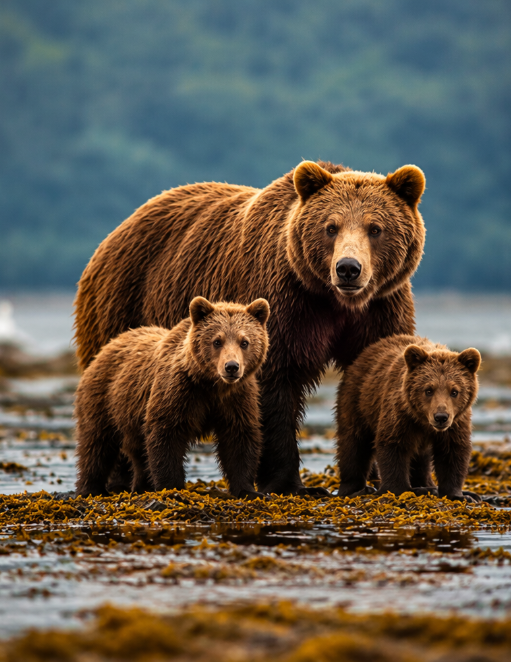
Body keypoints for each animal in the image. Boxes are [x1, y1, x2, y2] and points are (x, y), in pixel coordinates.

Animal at [74, 296, 270, 499]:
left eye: (244, 342)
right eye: (217, 341)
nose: (231, 367)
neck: (211, 385)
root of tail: (108, 345)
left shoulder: (236, 399)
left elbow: (239, 439)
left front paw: (248, 490)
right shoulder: (178, 392)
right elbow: (166, 435)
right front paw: (172, 487)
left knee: (138, 451)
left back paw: (141, 486)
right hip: (104, 398)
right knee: (96, 445)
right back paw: (90, 489)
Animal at [335, 335, 481, 502]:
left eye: (454, 391)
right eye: (428, 390)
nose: (441, 417)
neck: (423, 421)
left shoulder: (456, 423)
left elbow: (452, 452)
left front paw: (459, 495)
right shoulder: (400, 415)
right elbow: (393, 446)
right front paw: (398, 489)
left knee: (421, 458)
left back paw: (427, 485)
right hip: (358, 402)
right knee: (354, 443)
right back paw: (354, 488)